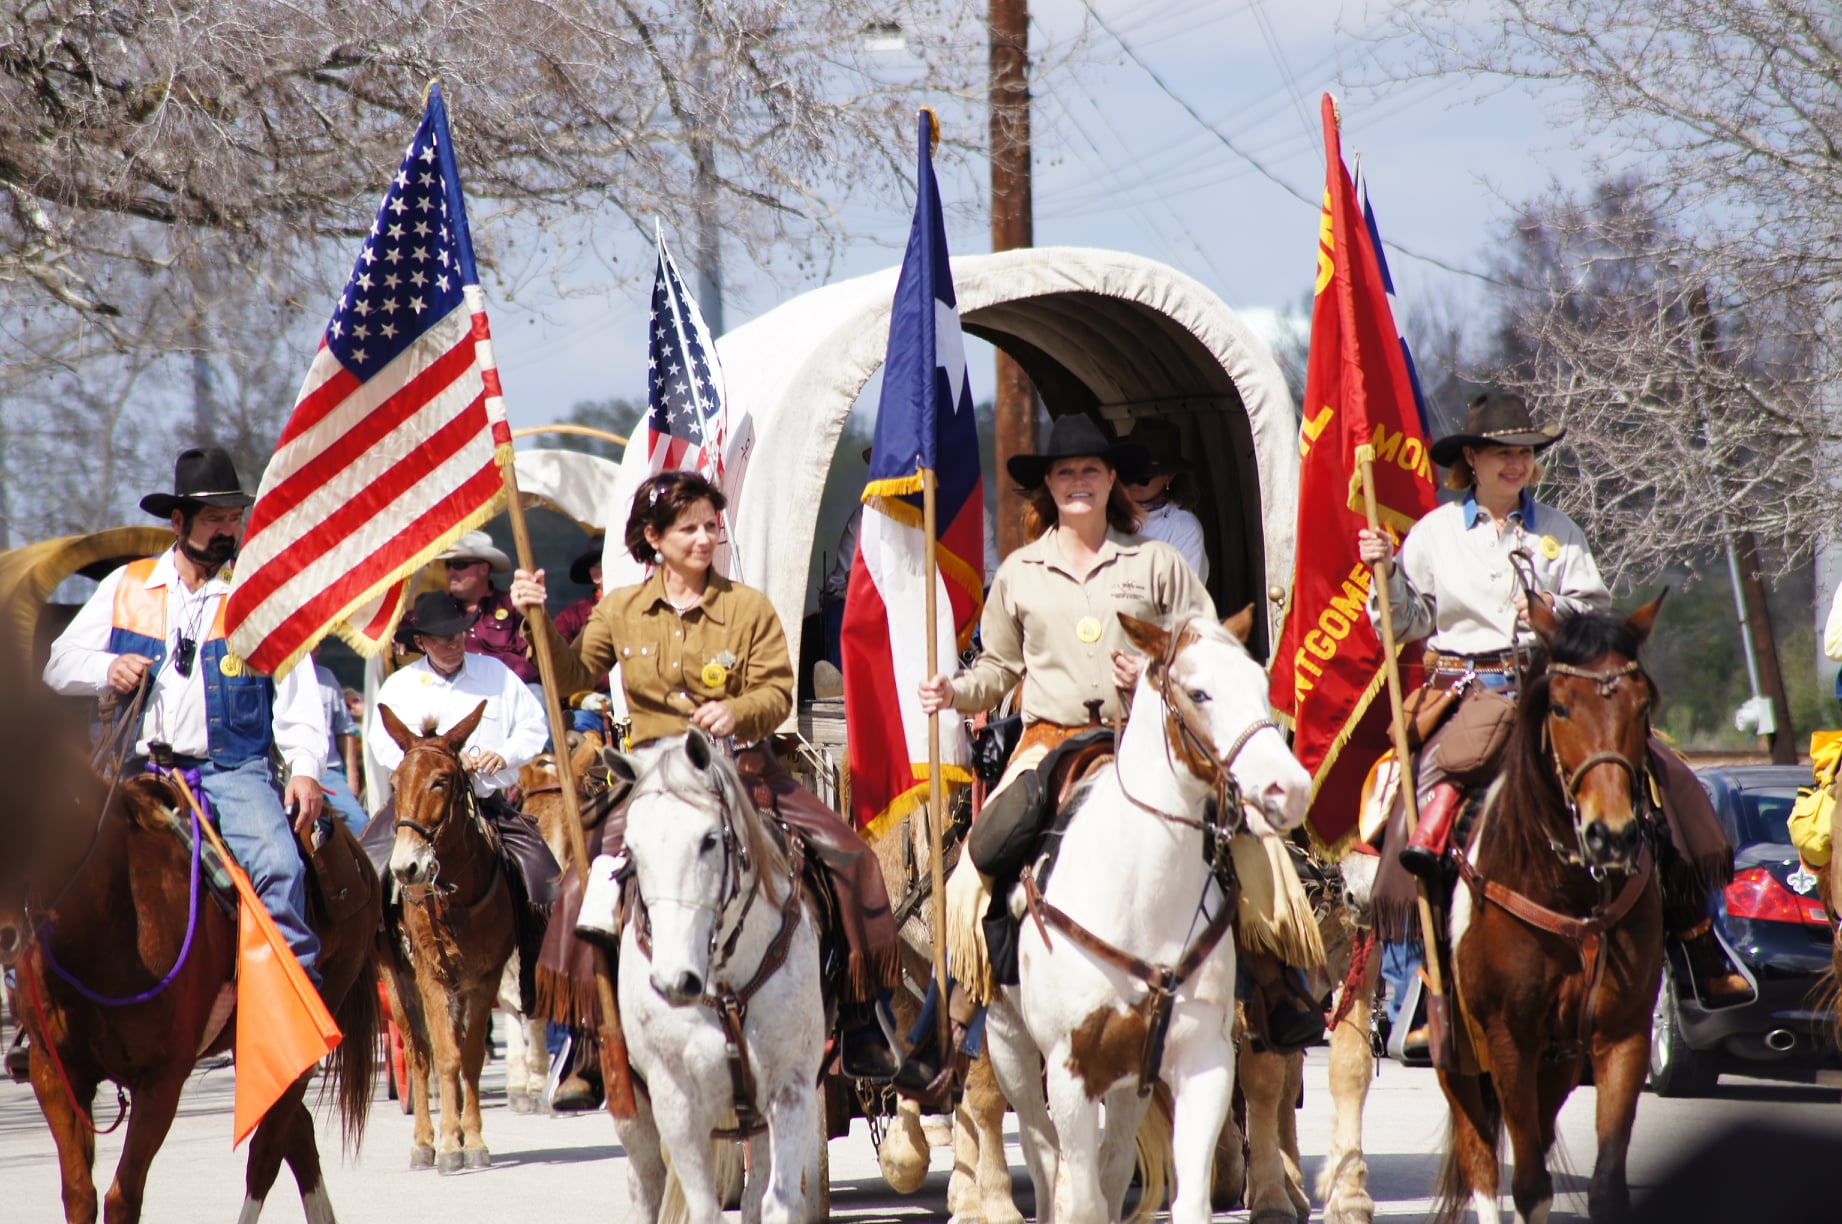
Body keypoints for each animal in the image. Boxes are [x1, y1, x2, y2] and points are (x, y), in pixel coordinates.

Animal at [2, 722, 377, 1216]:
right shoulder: (55, 1072)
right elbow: (80, 1194)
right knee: (297, 1137)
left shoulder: (161, 1082)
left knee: (267, 1152)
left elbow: (123, 1197)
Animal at [373, 696, 519, 1165]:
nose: (406, 868)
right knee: (420, 1053)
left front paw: (471, 1138)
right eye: (396, 782)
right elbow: (444, 1056)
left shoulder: (484, 978)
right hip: (396, 980)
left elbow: (468, 1055)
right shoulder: (430, 975)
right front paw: (451, 1144)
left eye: (440, 781)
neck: (456, 899)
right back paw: (424, 1140)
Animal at [604, 729, 821, 1216]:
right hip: (632, 1116)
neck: (723, 985)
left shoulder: (791, 1087)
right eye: (632, 851)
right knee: (644, 1185)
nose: (673, 981)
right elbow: (704, 1208)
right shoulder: (676, 1106)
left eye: (708, 840)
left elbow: (778, 1200)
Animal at [994, 612, 1311, 1224]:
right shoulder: (1069, 1073)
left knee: (1115, 1163)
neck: (1139, 897)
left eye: (1262, 686)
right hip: (1009, 1048)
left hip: (1126, 1079)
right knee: (1043, 1155)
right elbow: (1082, 1200)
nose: (1290, 789)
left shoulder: (1204, 1063)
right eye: (1199, 693)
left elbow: (1186, 1198)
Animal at [1429, 593, 1679, 1224]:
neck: (1570, 892)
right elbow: (1528, 1186)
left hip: (1559, 1062)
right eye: (1561, 707)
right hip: (1456, 1056)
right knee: (1481, 1162)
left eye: (1642, 706)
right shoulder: (1507, 1039)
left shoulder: (1621, 1036)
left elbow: (1606, 1185)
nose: (1611, 836)